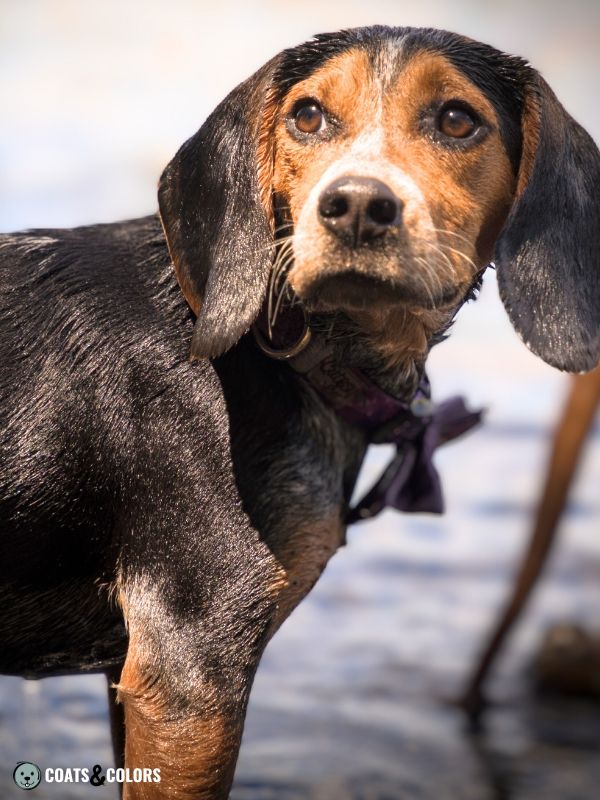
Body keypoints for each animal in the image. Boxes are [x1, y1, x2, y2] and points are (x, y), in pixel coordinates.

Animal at [1, 26, 600, 800]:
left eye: (457, 119)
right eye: (308, 115)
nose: (357, 205)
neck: (281, 346)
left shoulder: (134, 678)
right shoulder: (191, 672)